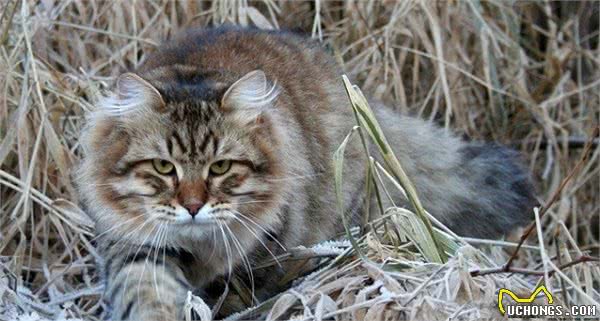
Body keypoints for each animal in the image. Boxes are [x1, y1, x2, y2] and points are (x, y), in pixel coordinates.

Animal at [75, 26, 536, 318]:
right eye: (163, 167)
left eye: (220, 167)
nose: (192, 206)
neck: (200, 248)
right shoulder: (135, 244)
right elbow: (147, 291)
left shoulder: (263, 251)